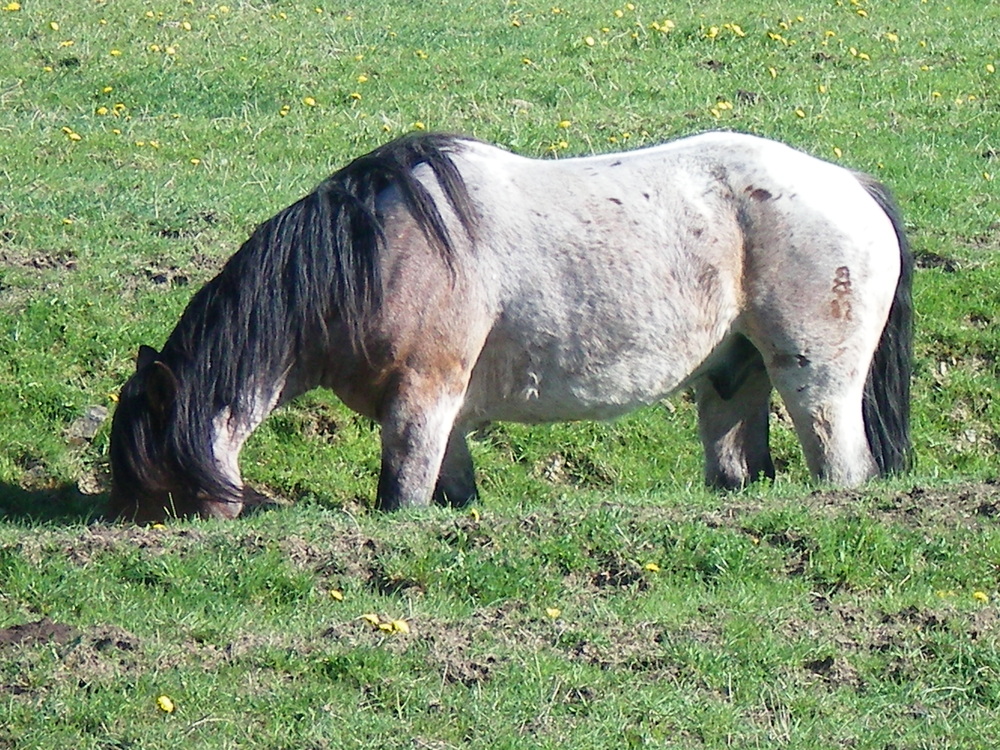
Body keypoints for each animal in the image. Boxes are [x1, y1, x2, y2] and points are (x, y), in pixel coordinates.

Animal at [105, 131, 912, 524]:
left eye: (150, 468)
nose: (126, 530)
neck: (374, 253)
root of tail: (852, 186)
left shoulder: (421, 402)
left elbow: (400, 498)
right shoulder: (445, 416)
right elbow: (451, 494)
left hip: (816, 387)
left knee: (844, 469)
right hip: (731, 379)